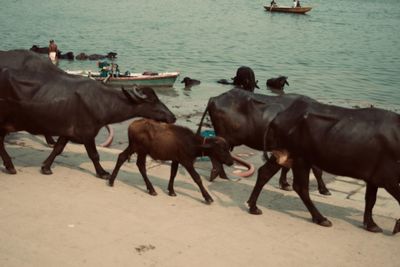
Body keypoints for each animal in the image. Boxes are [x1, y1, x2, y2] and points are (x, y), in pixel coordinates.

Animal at [0, 50, 175, 179]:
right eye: (152, 101)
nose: (172, 117)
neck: (103, 101)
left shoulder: (67, 132)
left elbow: (58, 149)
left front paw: (46, 167)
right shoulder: (88, 133)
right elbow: (94, 155)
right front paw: (102, 172)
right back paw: (10, 166)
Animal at [195, 89, 330, 196]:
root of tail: (215, 99)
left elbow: (286, 167)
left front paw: (284, 184)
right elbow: (317, 171)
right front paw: (324, 189)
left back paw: (220, 175)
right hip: (224, 137)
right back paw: (219, 174)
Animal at [250, 98, 400, 234]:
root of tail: (280, 115)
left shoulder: (374, 178)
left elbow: (370, 200)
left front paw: (371, 225)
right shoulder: (388, 179)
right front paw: (396, 225)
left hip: (283, 155)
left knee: (264, 173)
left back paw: (253, 207)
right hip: (300, 159)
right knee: (301, 188)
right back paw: (320, 218)